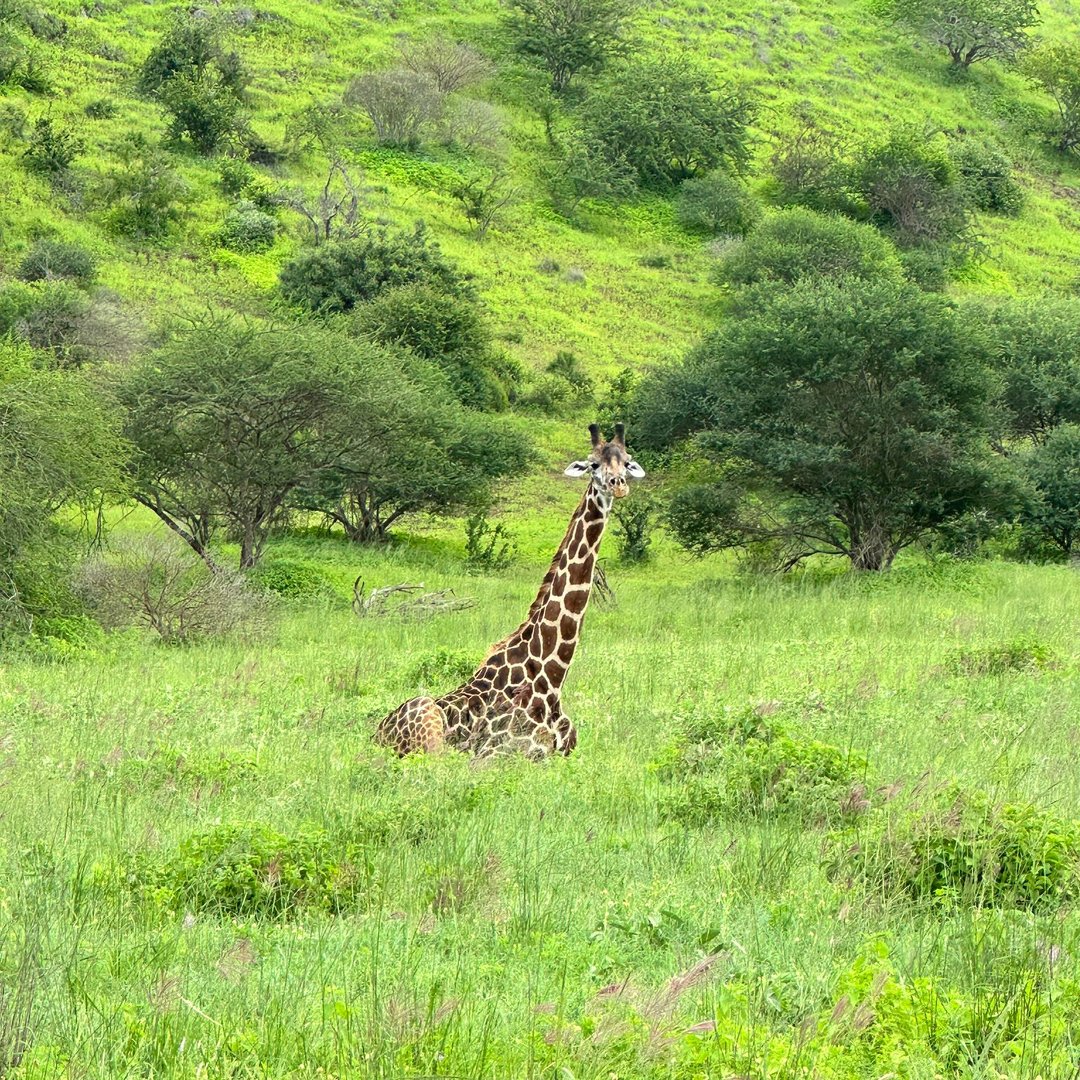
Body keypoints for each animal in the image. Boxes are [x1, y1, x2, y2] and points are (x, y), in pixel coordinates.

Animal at [375, 423, 646, 760]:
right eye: (593, 464)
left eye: (626, 462)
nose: (618, 485)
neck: (552, 676)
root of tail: (377, 731)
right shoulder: (503, 754)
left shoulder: (568, 752)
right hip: (429, 728)